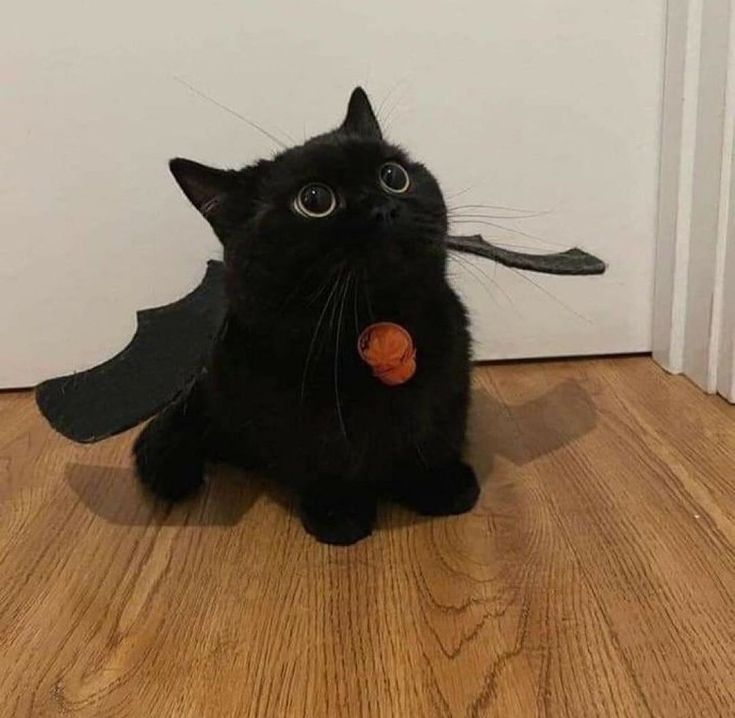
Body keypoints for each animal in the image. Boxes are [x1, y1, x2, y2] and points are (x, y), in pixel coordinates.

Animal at [134, 88, 480, 544]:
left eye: (392, 175)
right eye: (314, 201)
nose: (383, 206)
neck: (369, 322)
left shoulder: (449, 379)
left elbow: (432, 432)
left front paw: (438, 483)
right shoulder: (285, 413)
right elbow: (318, 457)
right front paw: (338, 510)